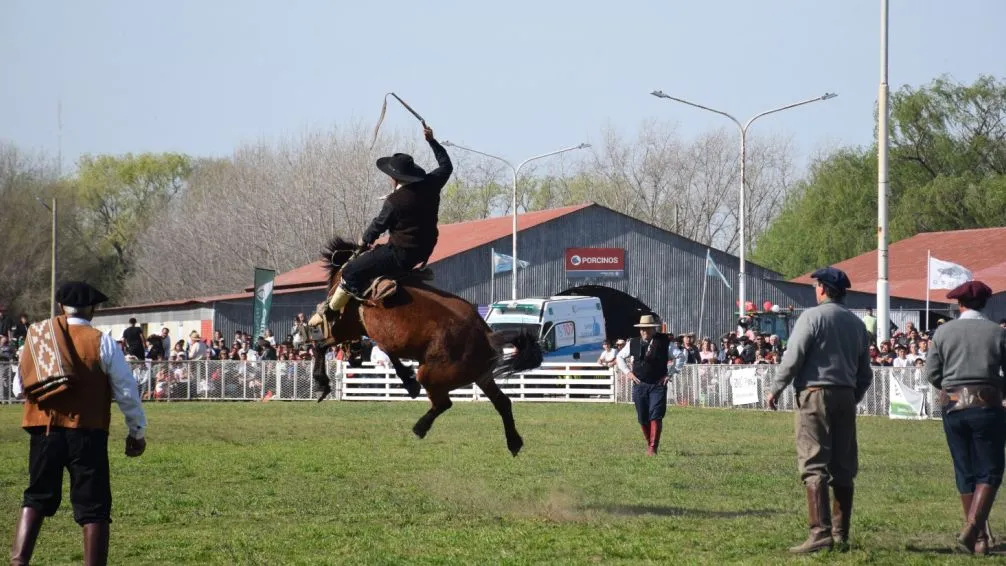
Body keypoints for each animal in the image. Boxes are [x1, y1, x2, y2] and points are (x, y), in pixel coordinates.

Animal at [309, 238, 543, 456]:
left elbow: (321, 346)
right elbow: (389, 353)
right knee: (502, 402)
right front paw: (407, 379)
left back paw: (420, 427)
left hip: (431, 374)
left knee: (444, 403)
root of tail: (486, 334)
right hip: (482, 377)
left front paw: (322, 384)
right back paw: (514, 442)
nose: (354, 357)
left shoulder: (347, 329)